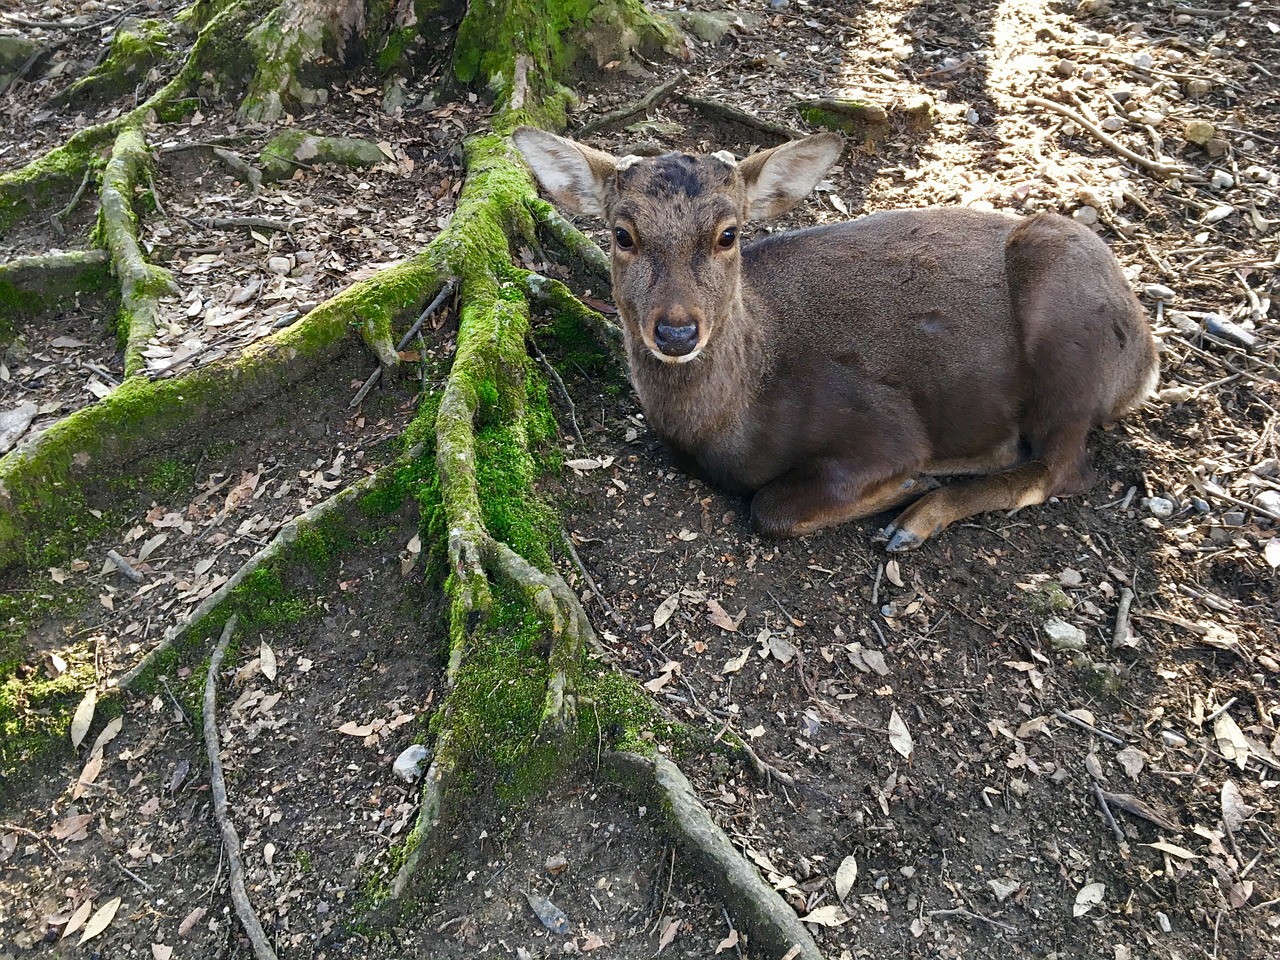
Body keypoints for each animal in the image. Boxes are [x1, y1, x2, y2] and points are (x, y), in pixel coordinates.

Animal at [509, 126, 1162, 547]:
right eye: (622, 234)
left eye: (728, 234)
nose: (675, 329)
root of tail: (1145, 364)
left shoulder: (881, 421)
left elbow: (770, 507)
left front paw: (909, 483)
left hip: (1067, 326)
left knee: (1064, 467)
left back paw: (918, 516)